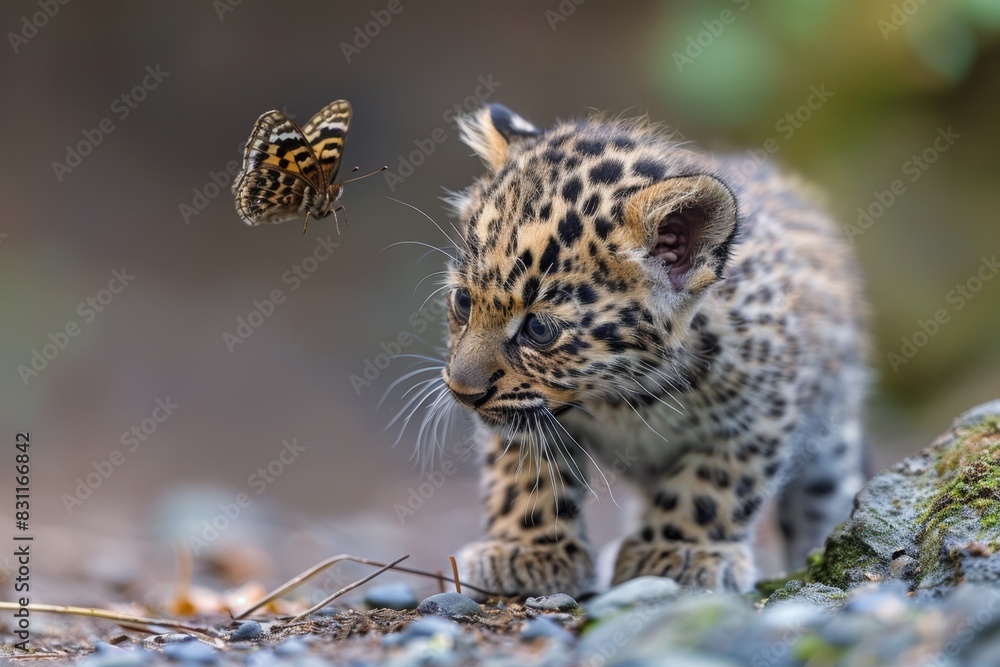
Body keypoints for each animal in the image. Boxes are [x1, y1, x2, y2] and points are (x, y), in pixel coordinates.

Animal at [411, 103, 868, 598]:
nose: (463, 391)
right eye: (463, 302)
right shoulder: (530, 418)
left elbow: (715, 482)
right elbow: (528, 474)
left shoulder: (762, 415)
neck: (628, 393)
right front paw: (527, 550)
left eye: (538, 329)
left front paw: (679, 552)